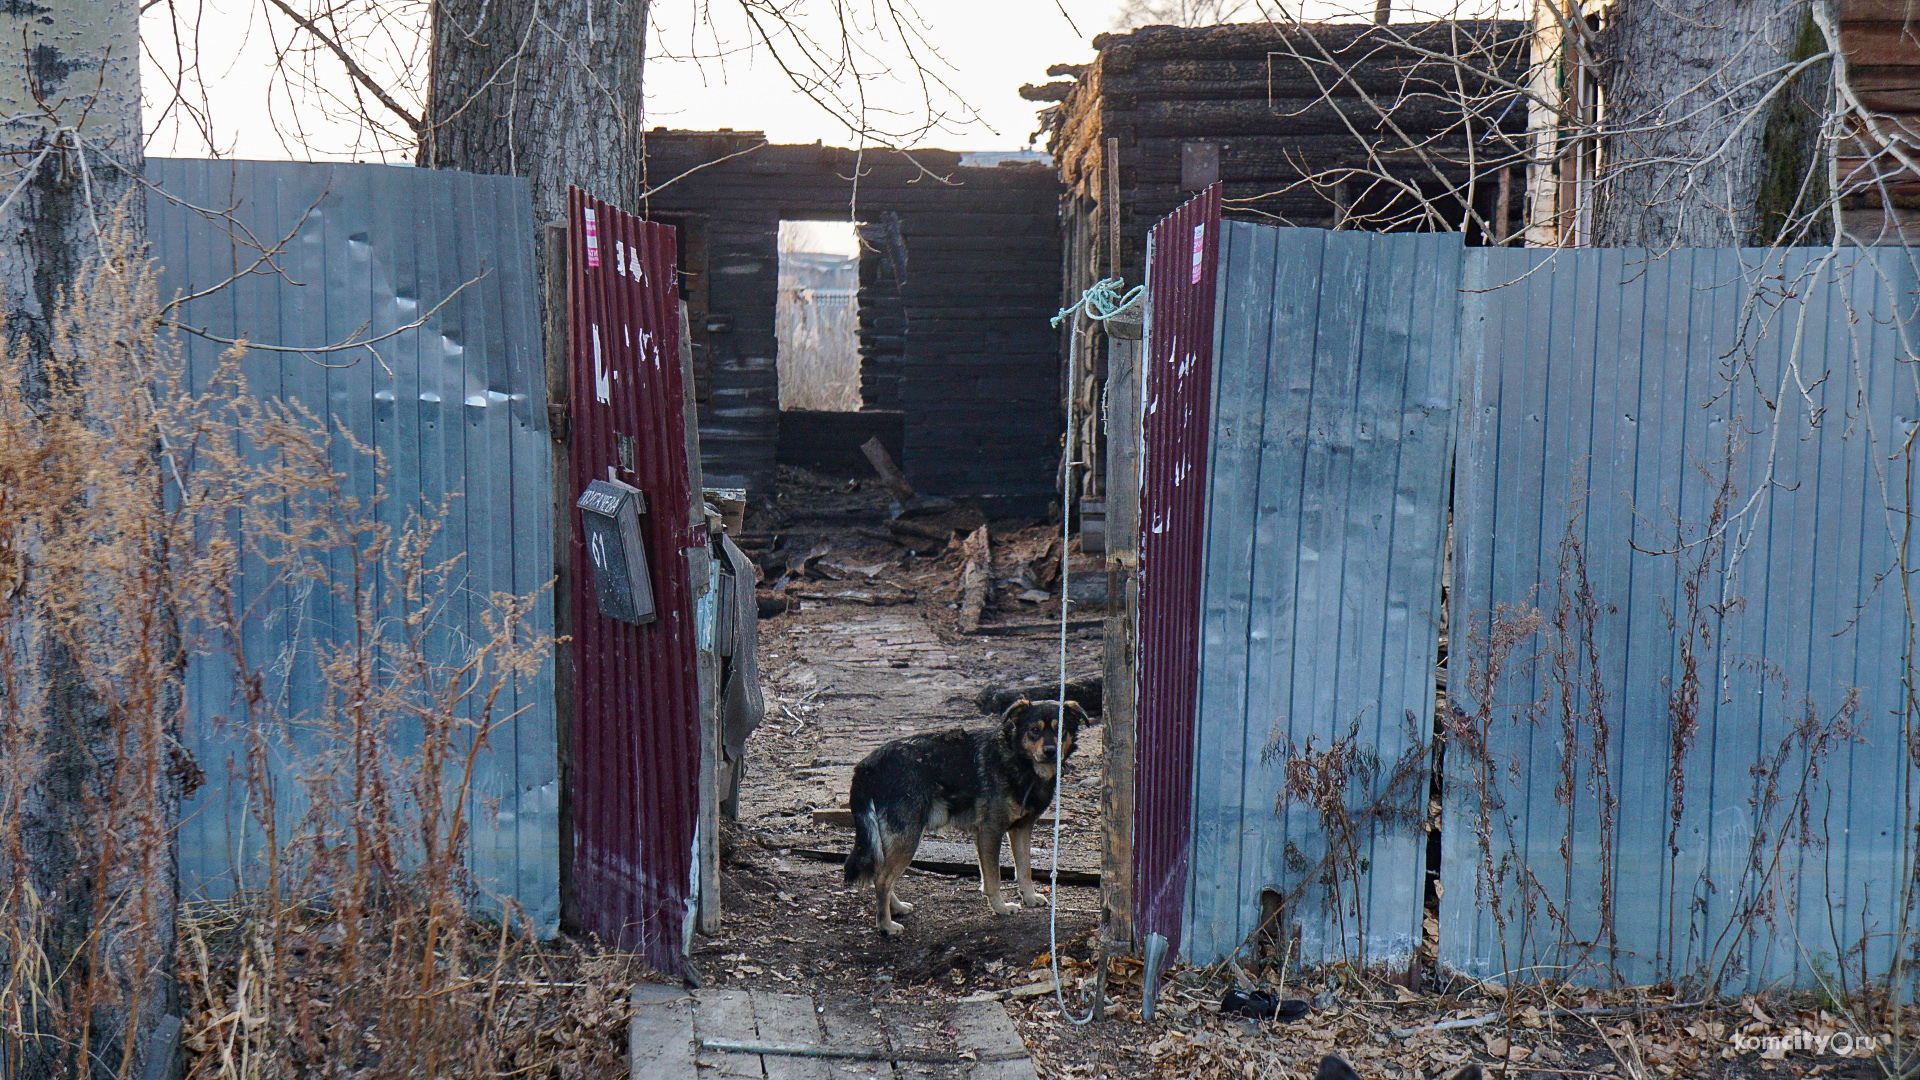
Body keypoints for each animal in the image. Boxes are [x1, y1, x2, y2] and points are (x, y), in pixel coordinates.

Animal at [840, 691, 1082, 930]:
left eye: (1060, 729)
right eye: (1034, 730)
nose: (1050, 751)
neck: (1018, 759)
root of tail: (867, 765)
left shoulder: (1021, 829)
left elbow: (1024, 869)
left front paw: (1030, 898)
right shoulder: (990, 832)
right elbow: (993, 878)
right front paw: (1001, 908)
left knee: (880, 874)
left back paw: (896, 909)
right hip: (907, 837)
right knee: (883, 879)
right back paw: (886, 926)